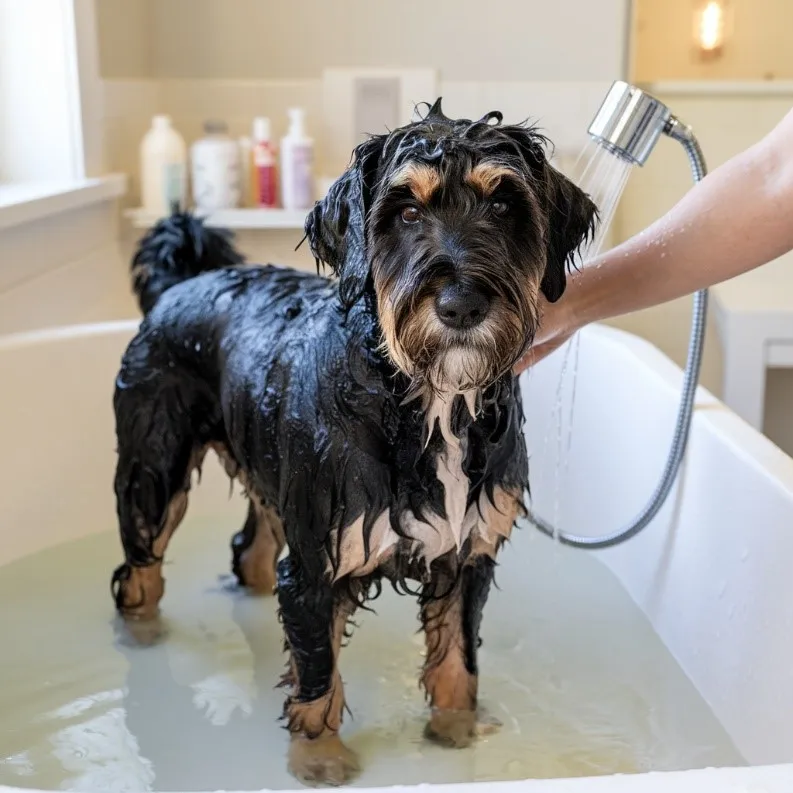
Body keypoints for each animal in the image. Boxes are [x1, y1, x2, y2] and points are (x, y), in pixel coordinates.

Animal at [110, 100, 592, 784]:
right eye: (407, 211)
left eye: (503, 204)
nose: (461, 303)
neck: (426, 405)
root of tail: (181, 285)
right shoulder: (316, 566)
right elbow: (317, 676)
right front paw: (320, 758)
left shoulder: (467, 555)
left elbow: (457, 659)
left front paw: (456, 730)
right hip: (154, 469)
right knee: (141, 573)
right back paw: (141, 639)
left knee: (249, 553)